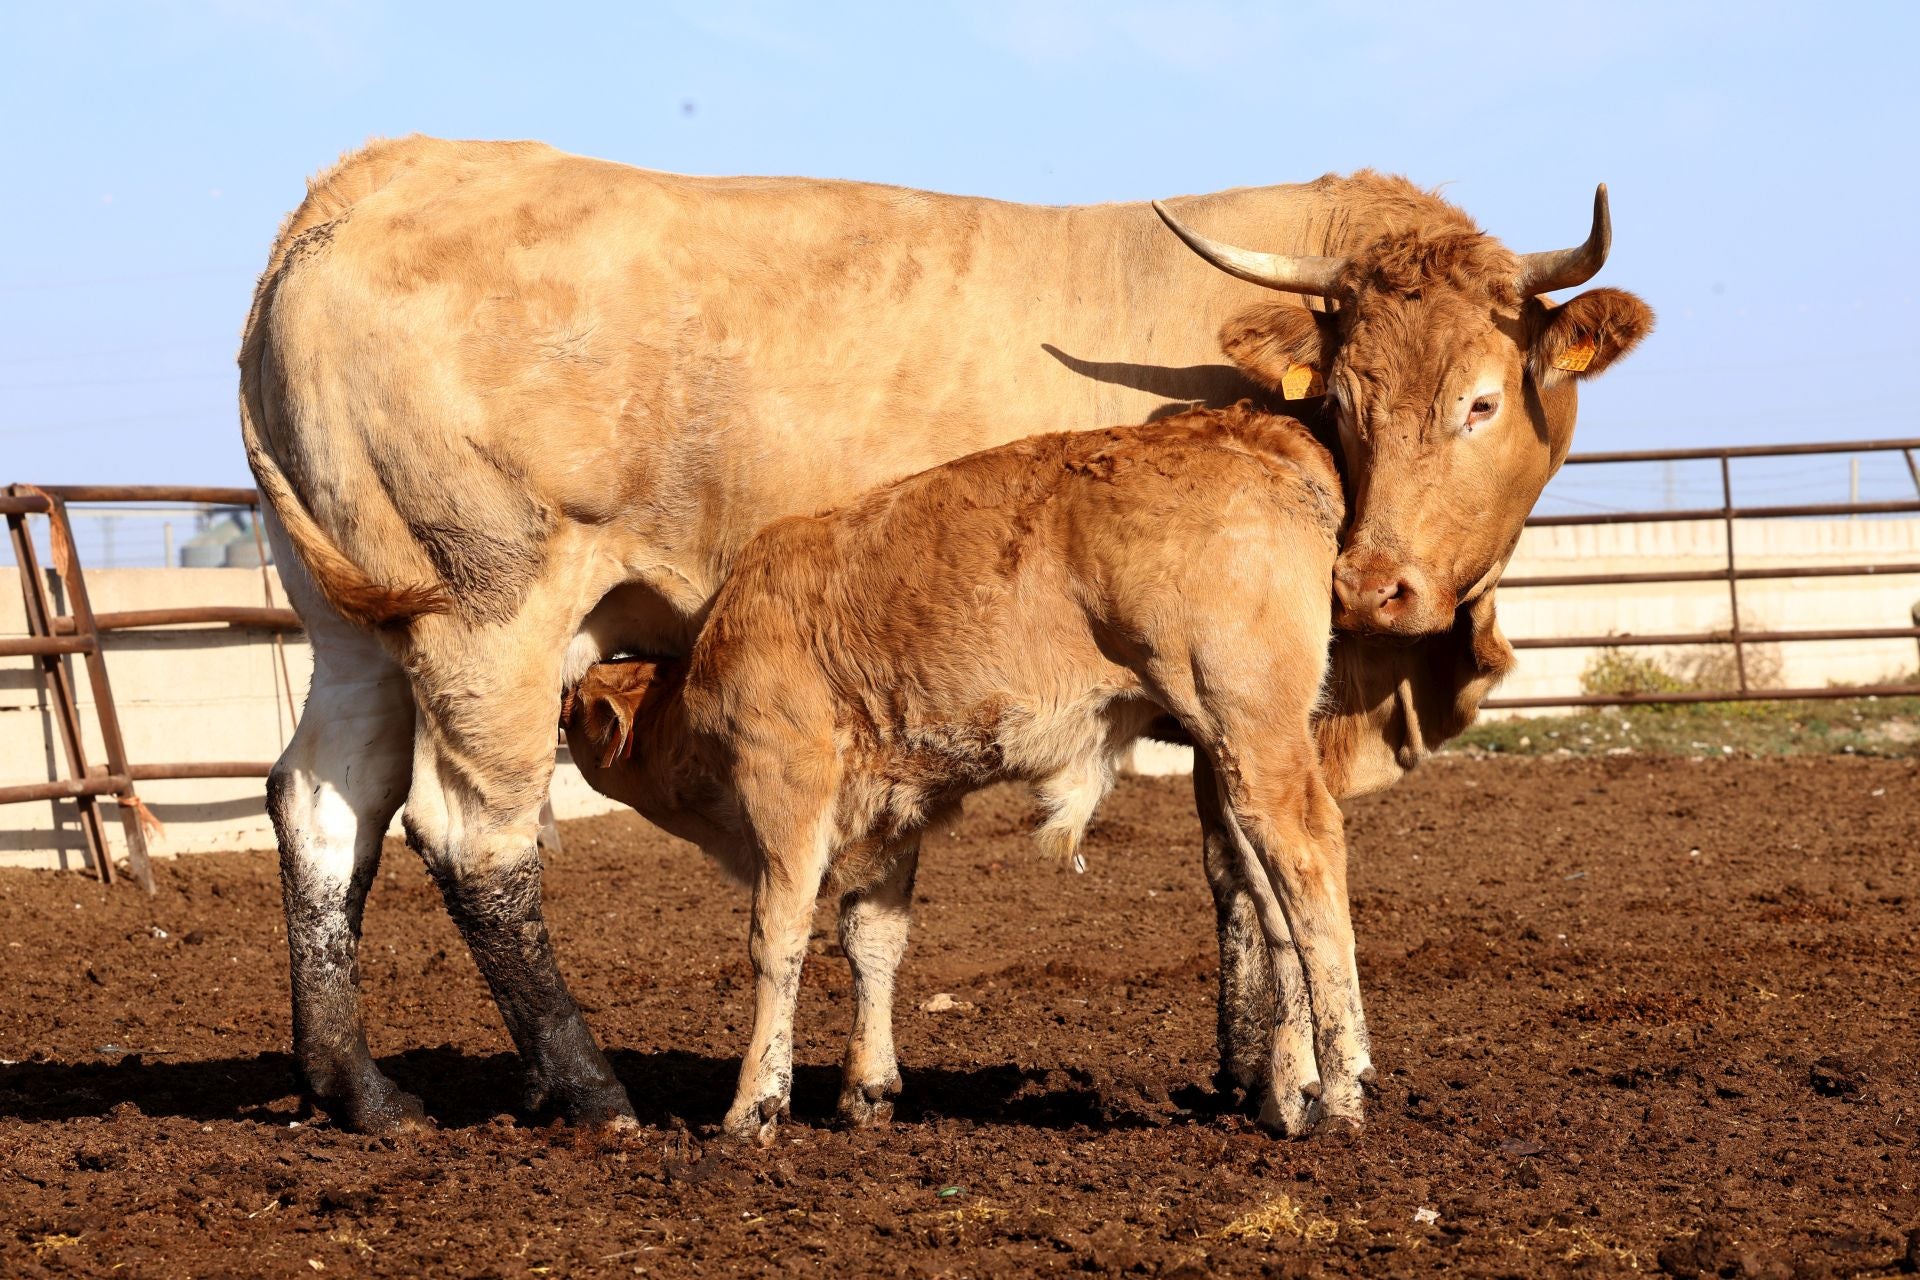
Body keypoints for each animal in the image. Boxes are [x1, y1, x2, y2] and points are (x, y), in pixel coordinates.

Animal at [240, 132, 1651, 1128]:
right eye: (1348, 400)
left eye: (1481, 400)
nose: (1377, 586)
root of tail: (362, 186)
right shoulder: (1248, 690)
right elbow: (1255, 868)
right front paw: (1285, 1077)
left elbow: (1239, 874)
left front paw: (1257, 1066)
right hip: (492, 616)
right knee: (473, 835)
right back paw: (590, 1087)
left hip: (356, 624)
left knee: (324, 802)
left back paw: (359, 1089)